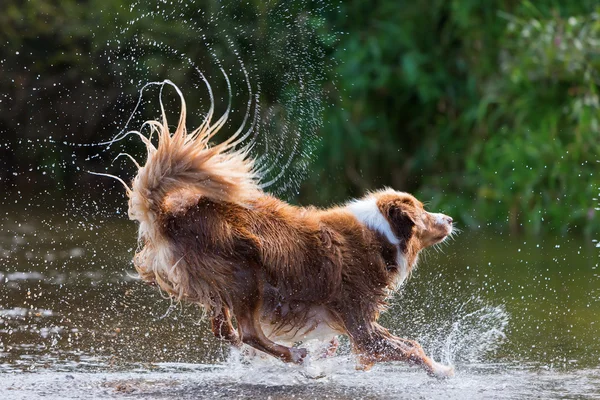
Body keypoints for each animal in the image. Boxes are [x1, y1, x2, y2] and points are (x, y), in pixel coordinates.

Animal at [122, 88, 454, 378]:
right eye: (424, 211)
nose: (450, 218)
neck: (380, 235)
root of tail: (171, 214)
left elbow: (402, 344)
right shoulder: (359, 321)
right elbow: (409, 348)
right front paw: (442, 371)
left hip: (221, 285)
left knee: (227, 331)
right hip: (245, 273)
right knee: (249, 333)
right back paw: (296, 356)